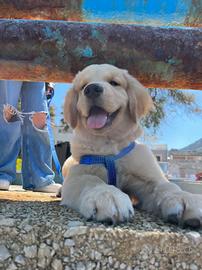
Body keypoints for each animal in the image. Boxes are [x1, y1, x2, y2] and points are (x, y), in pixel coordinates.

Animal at [61, 64, 202, 227]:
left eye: (114, 83)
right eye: (83, 86)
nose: (91, 89)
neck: (110, 148)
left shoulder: (147, 181)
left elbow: (167, 185)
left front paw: (183, 197)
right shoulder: (76, 175)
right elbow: (90, 180)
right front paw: (107, 195)